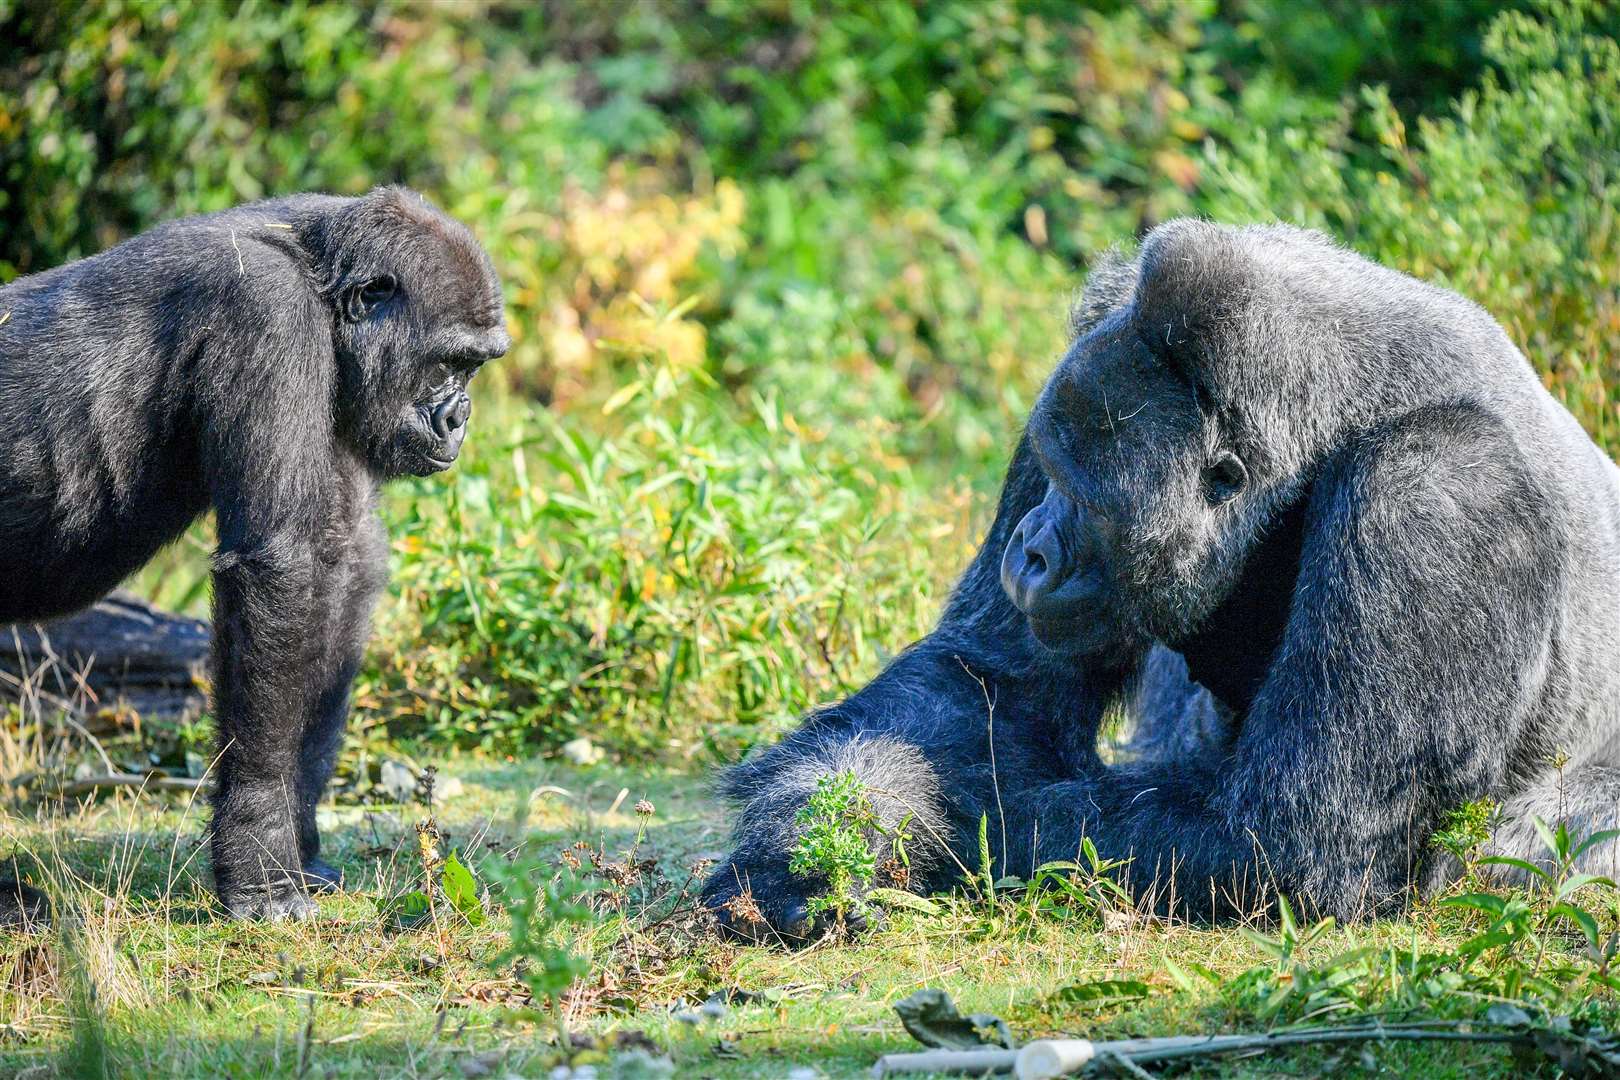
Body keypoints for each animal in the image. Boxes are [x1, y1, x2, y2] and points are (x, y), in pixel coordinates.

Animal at [0, 186, 508, 919]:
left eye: (475, 367)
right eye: (450, 361)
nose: (457, 419)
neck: (321, 278)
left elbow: (343, 565)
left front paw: (301, 839)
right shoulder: (266, 316)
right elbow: (284, 563)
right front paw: (261, 853)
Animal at [706, 216, 1620, 939]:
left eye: (1083, 500)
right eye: (1049, 474)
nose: (1029, 550)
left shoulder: (1436, 487)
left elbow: (1282, 848)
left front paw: (942, 829)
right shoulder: (1101, 322)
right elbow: (984, 685)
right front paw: (814, 840)